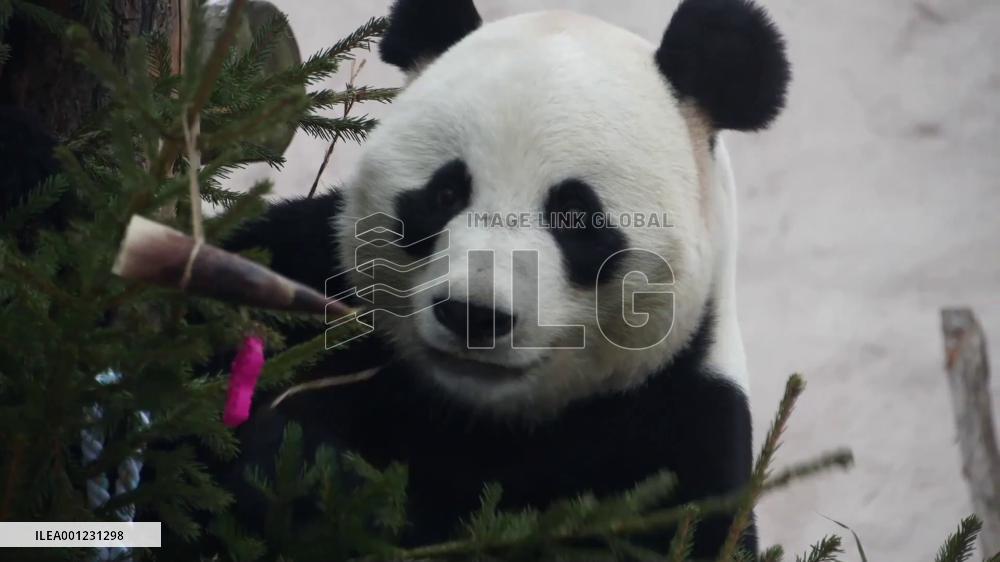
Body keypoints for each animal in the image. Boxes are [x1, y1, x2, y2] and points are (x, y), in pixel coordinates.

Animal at [224, 0, 790, 557]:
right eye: (446, 194)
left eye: (574, 215)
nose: (472, 314)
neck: (480, 416)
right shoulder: (310, 271)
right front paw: (293, 456)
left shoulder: (680, 437)